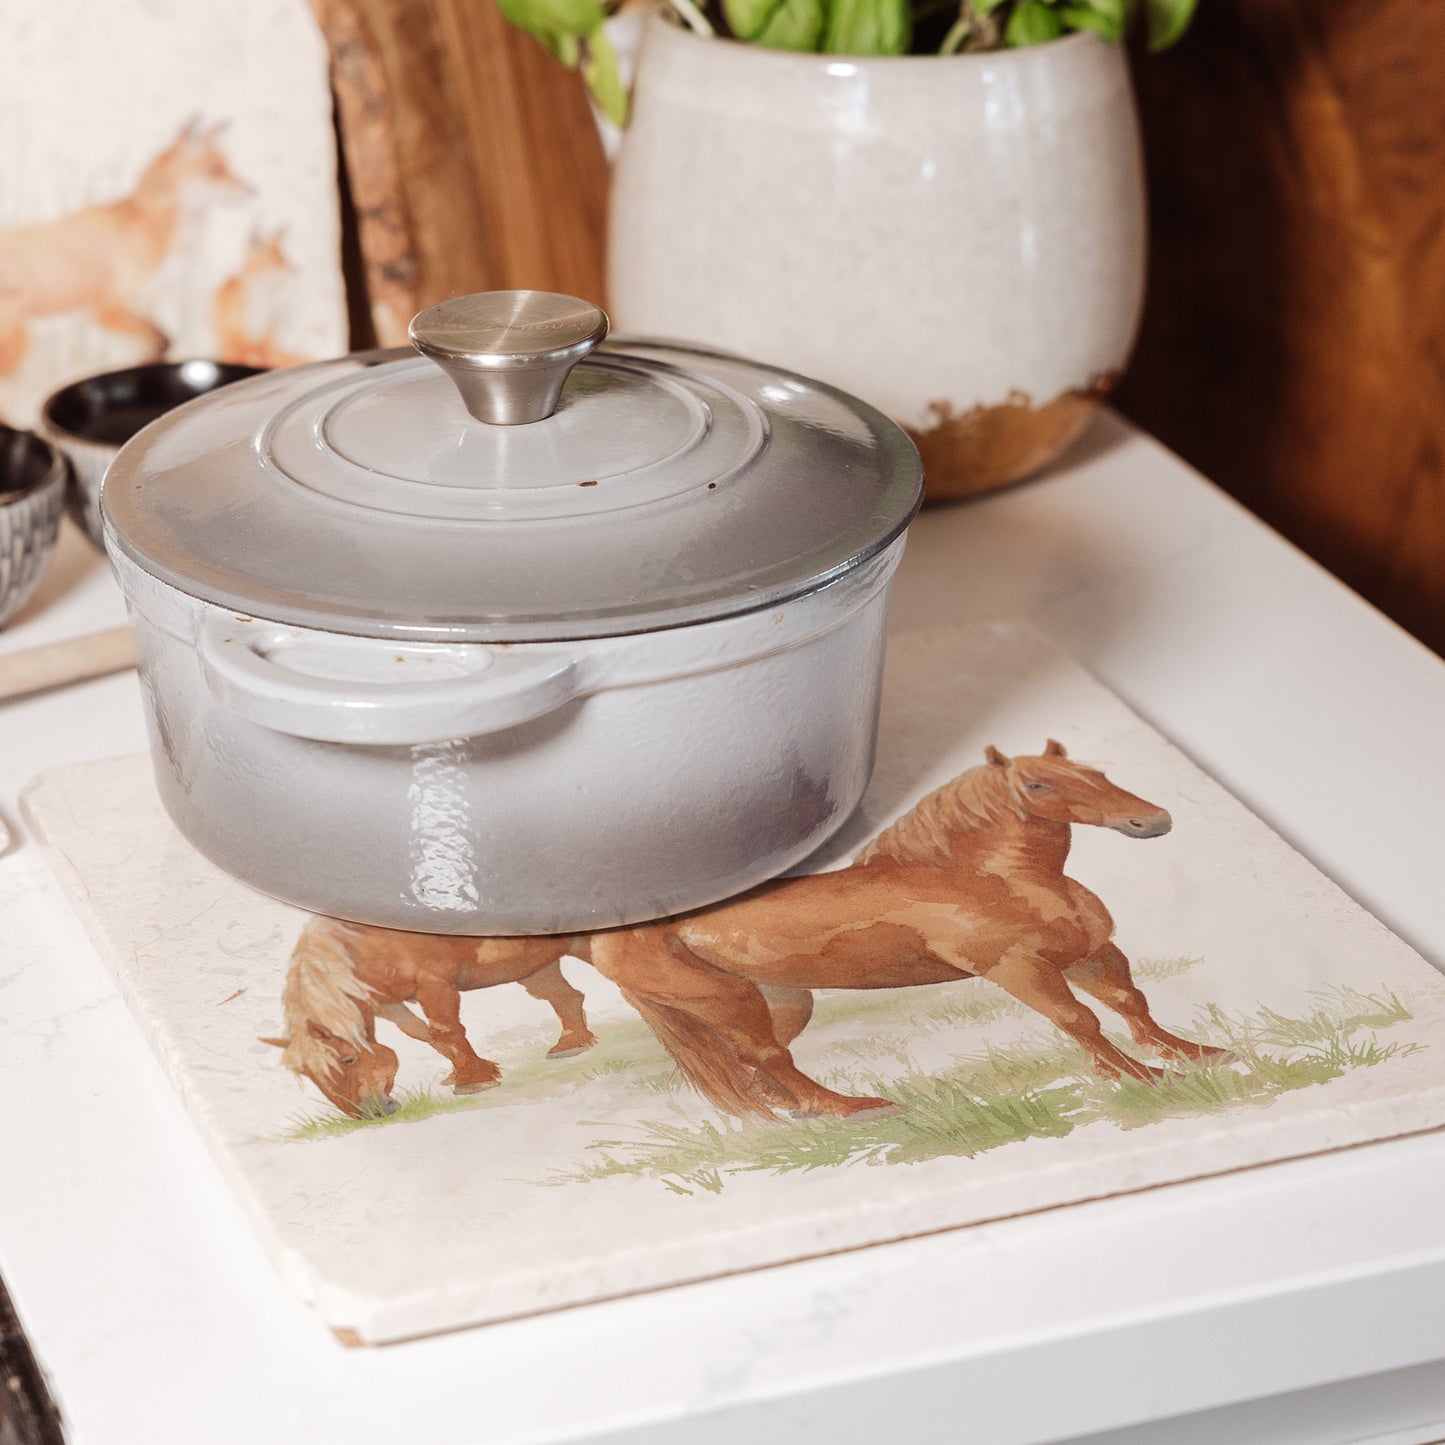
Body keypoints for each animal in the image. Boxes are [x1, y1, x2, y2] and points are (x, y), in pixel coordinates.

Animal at [0, 117, 251, 375]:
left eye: (227, 166)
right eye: (214, 170)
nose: (253, 190)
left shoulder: (146, 304)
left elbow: (157, 346)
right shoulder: (108, 308)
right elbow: (161, 341)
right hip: (17, 332)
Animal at [265, 913, 592, 1115]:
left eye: (348, 1060)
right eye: (308, 1075)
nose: (369, 1115)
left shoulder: (435, 986)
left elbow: (446, 1030)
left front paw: (473, 1081)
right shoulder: (386, 1004)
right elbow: (423, 1035)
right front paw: (459, 1074)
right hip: (535, 968)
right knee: (566, 997)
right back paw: (572, 1045)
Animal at [589, 745, 1231, 1115]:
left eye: (1094, 772)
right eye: (1039, 785)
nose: (1153, 820)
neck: (994, 880)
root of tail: (612, 936)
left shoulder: (1089, 952)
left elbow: (1129, 1001)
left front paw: (1196, 1054)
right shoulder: (1017, 969)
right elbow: (1079, 1020)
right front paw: (1140, 1076)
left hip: (782, 1000)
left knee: (759, 1067)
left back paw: (799, 1114)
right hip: (727, 1003)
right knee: (766, 1057)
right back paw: (852, 1110)